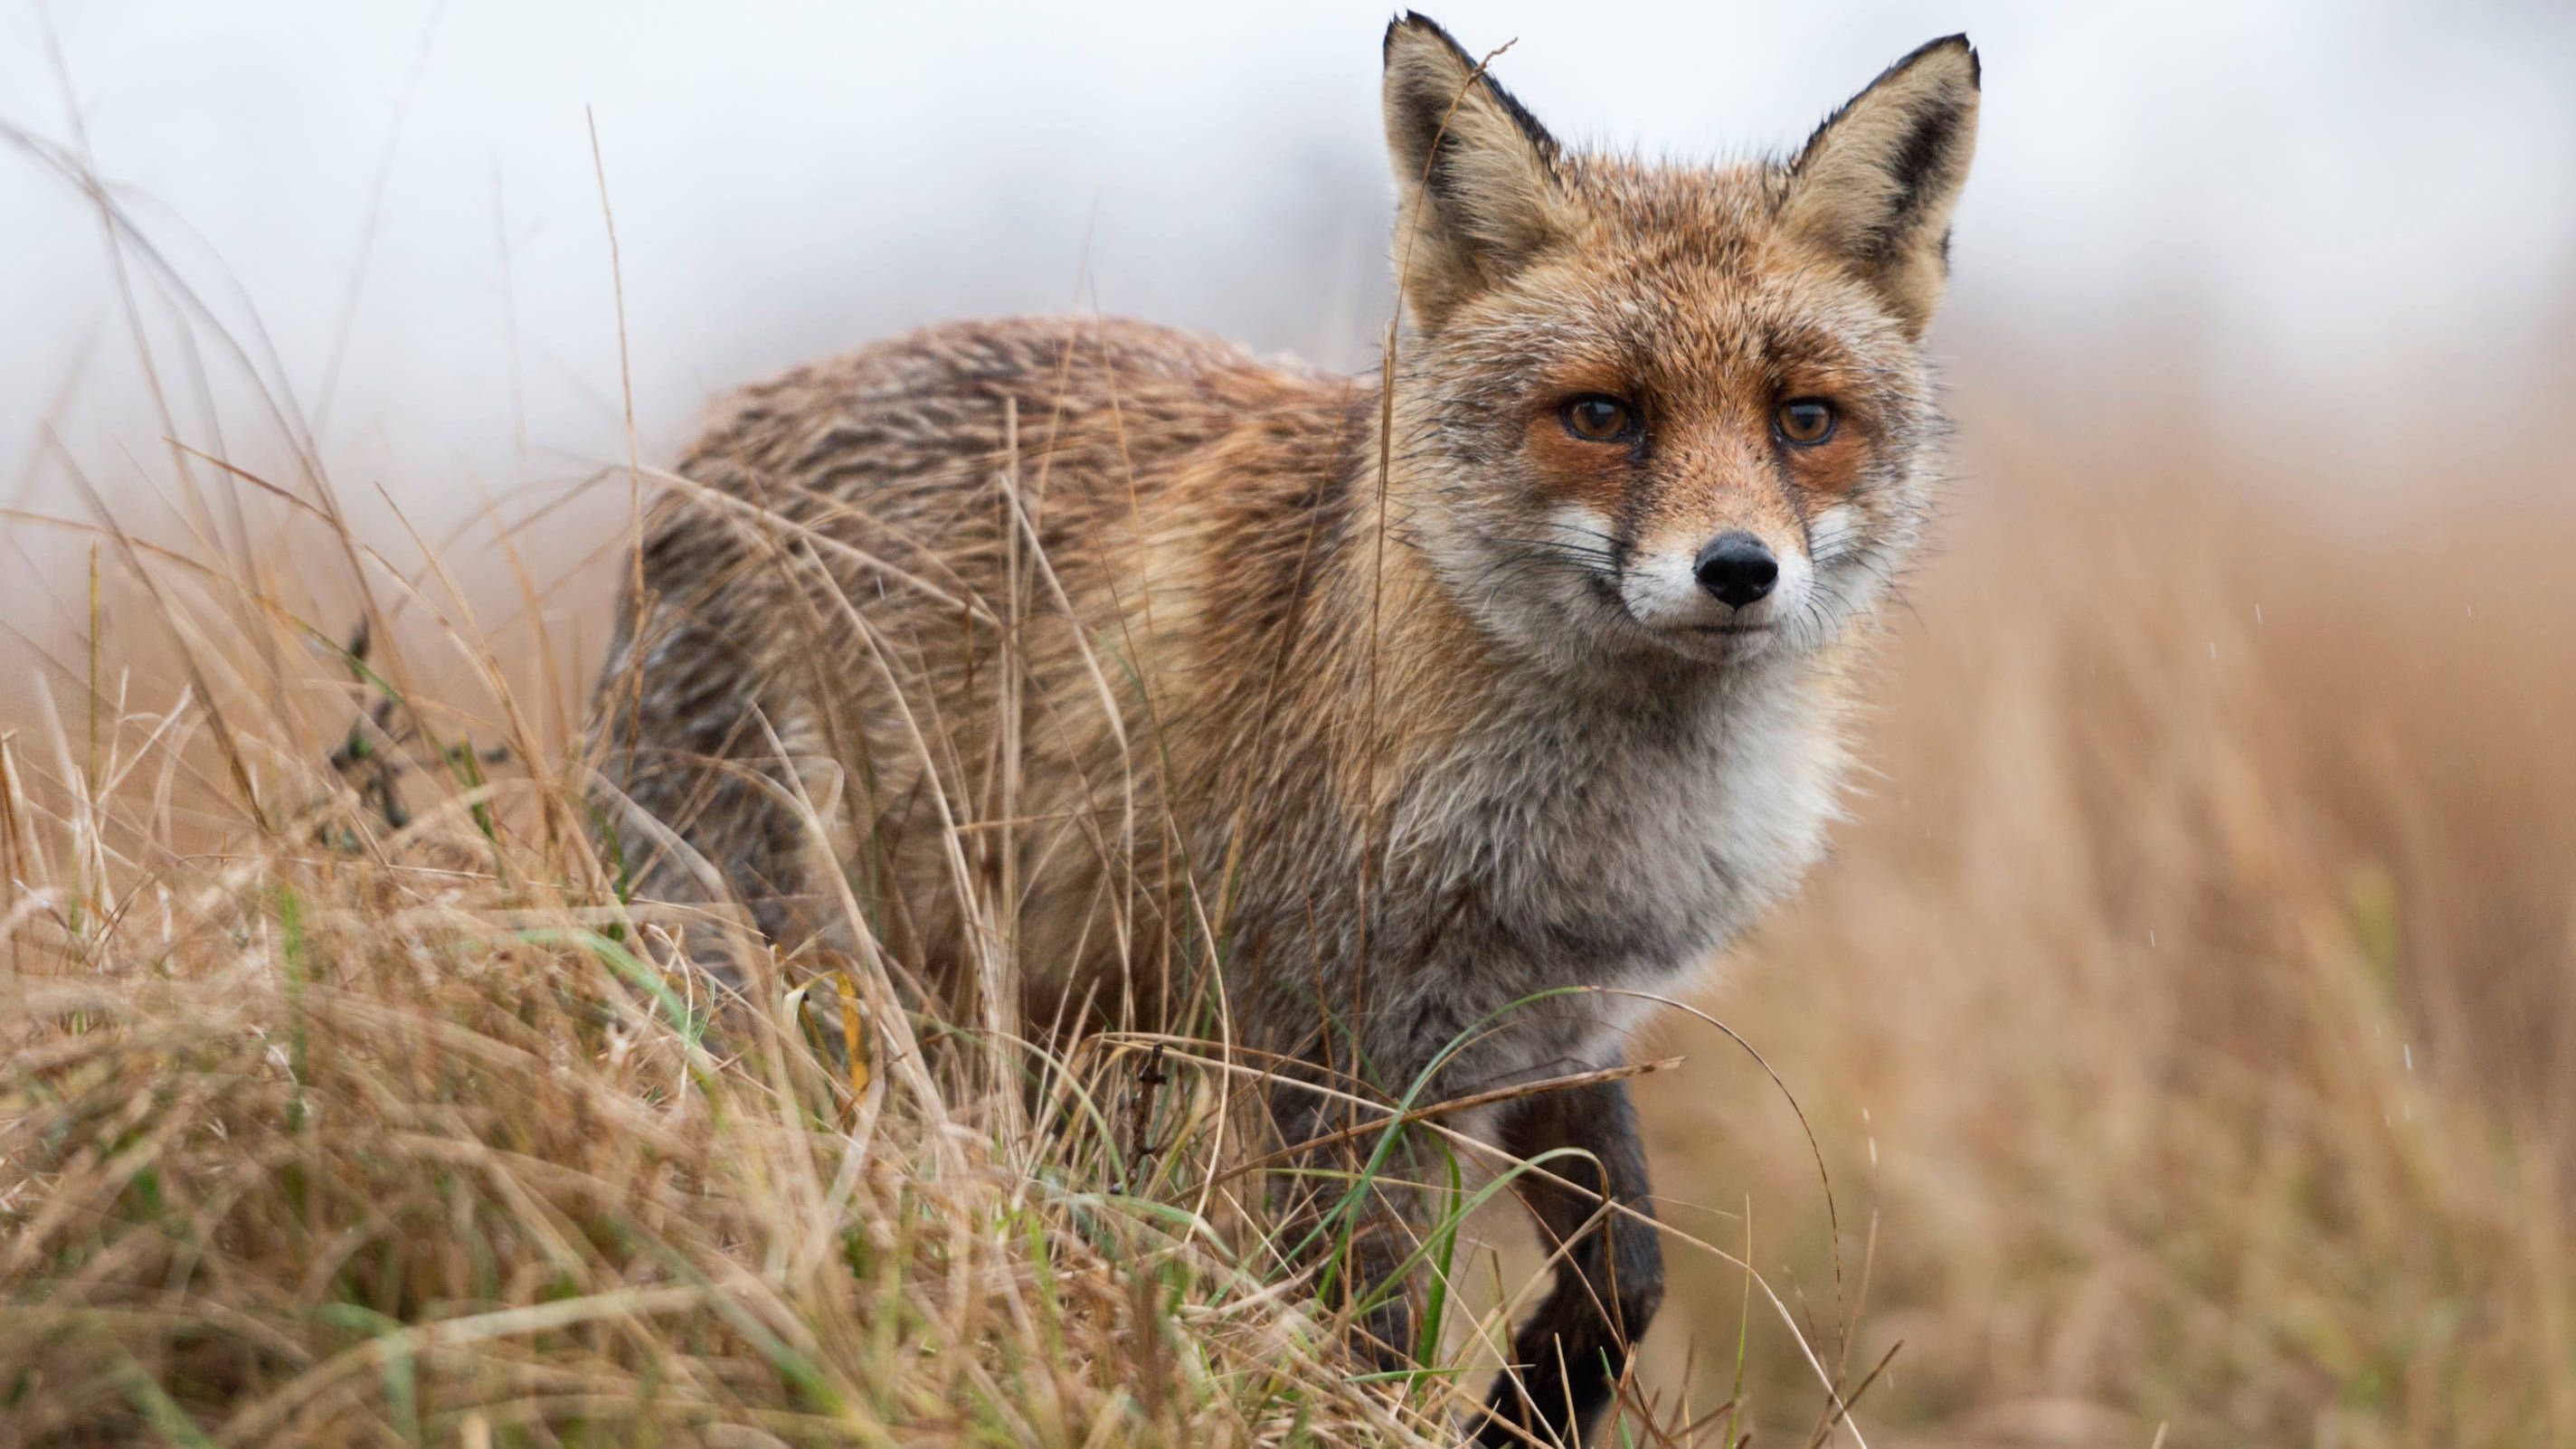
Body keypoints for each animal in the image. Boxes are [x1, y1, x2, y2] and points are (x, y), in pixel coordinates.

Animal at [592, 16, 1978, 1433]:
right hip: (774, 951)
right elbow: (1368, 1337)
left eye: (1804, 419)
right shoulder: (1337, 1056)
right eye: (1603, 415)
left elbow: (1624, 1277)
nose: (1740, 570)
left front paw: (1527, 1412)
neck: (1586, 836)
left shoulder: (1559, 1032)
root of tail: (716, 439)